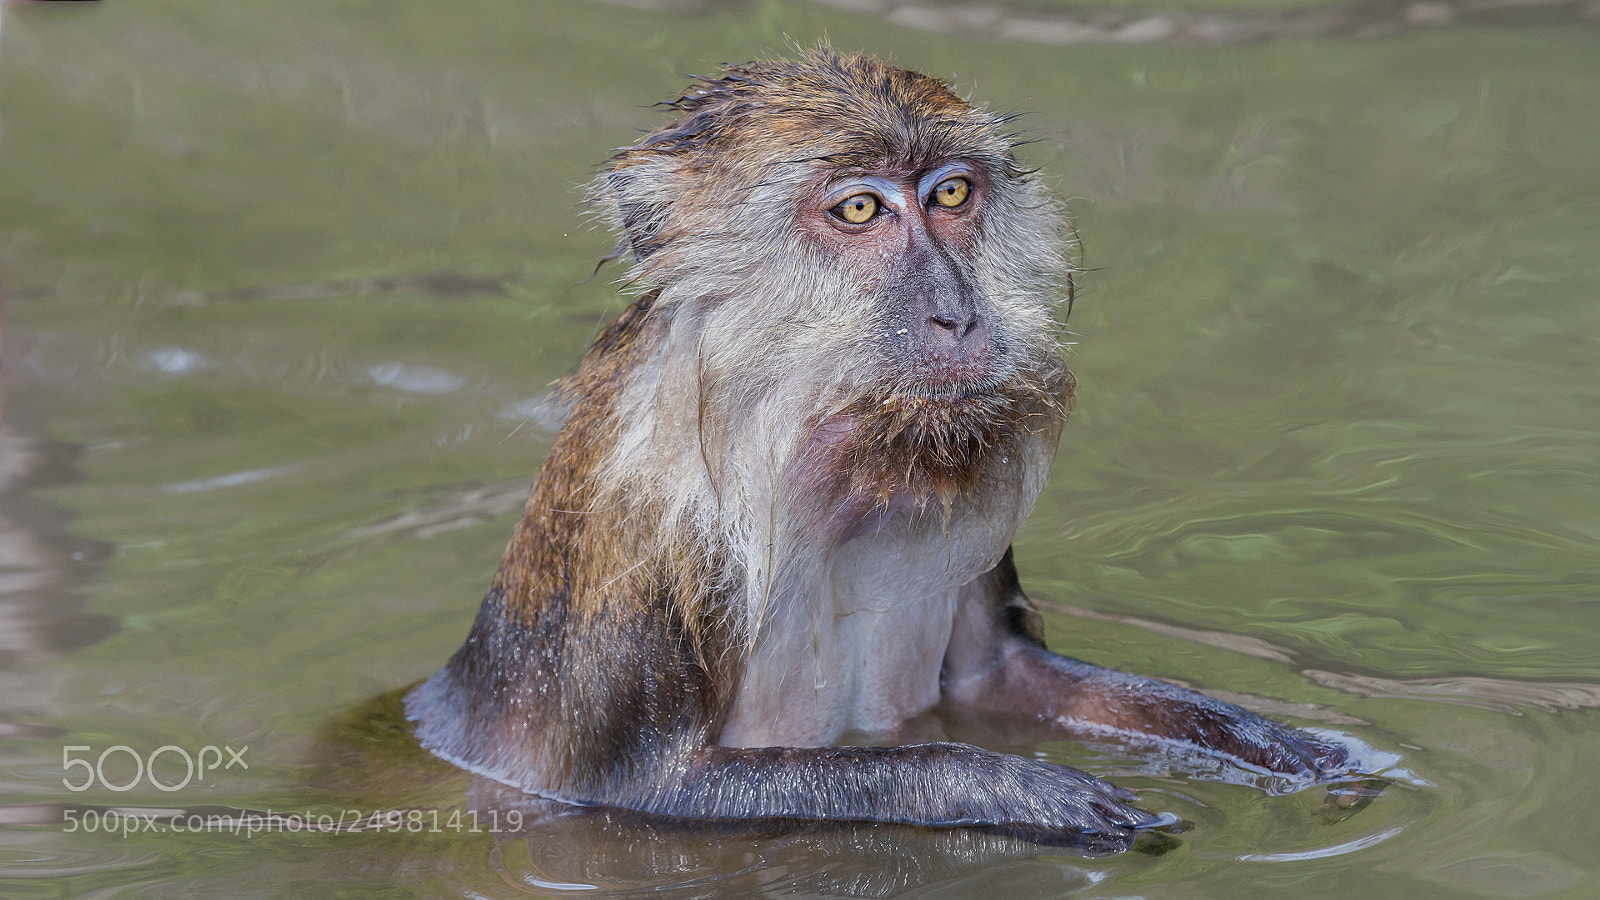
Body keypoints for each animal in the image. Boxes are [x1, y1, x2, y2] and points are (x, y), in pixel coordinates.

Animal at [405, 50, 1353, 850]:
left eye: (952, 194)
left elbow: (998, 681)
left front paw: (1272, 740)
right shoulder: (653, 523)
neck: (825, 456)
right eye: (860, 208)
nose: (957, 314)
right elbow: (644, 788)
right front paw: (1012, 789)